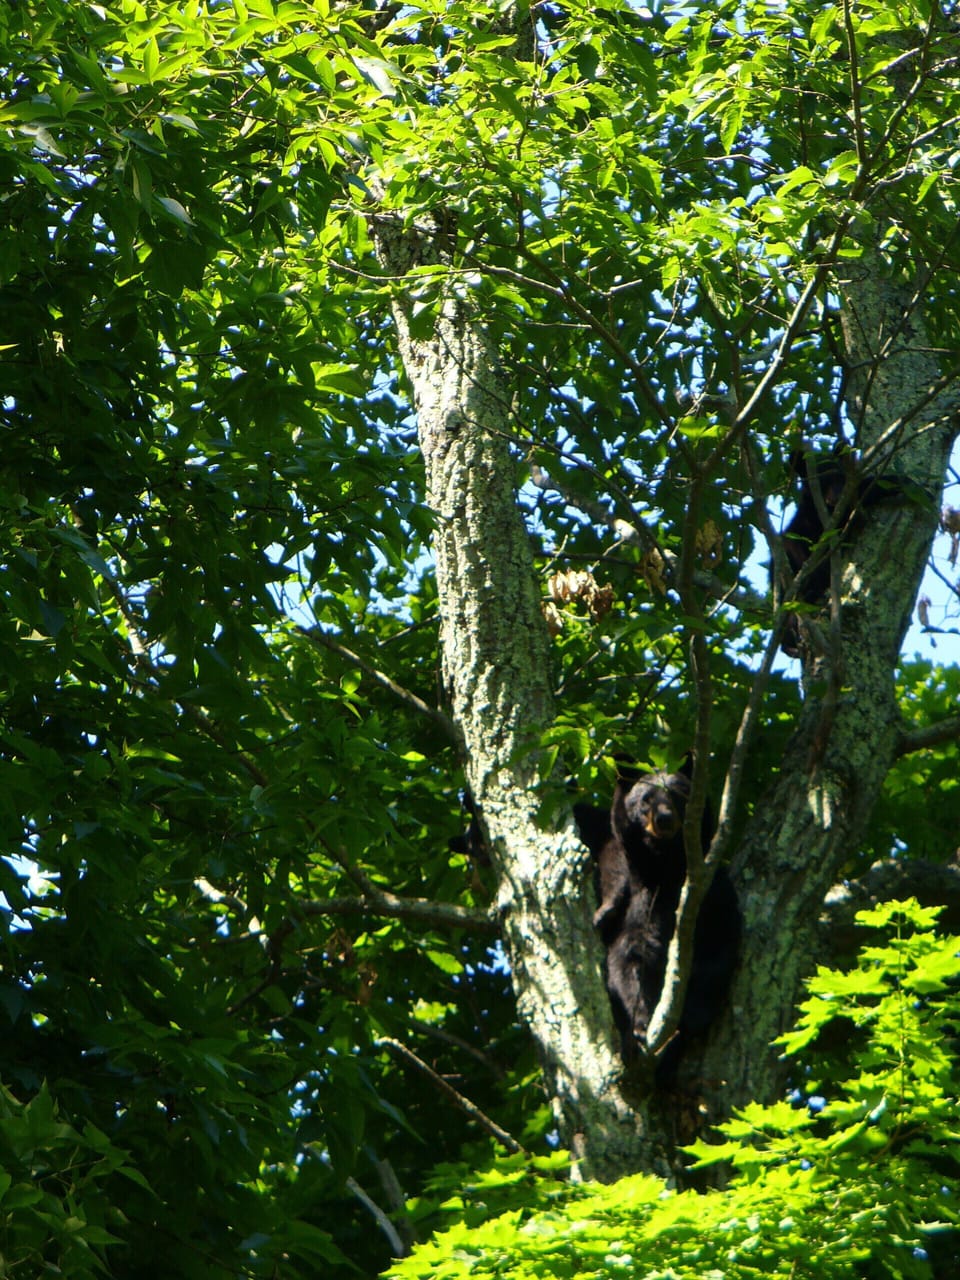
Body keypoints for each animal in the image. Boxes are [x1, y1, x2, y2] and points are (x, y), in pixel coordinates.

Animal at [574, 756, 740, 1078]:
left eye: (679, 793)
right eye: (646, 799)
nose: (664, 819)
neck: (665, 866)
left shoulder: (716, 891)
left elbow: (719, 948)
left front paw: (691, 1017)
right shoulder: (640, 901)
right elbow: (628, 962)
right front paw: (639, 1026)